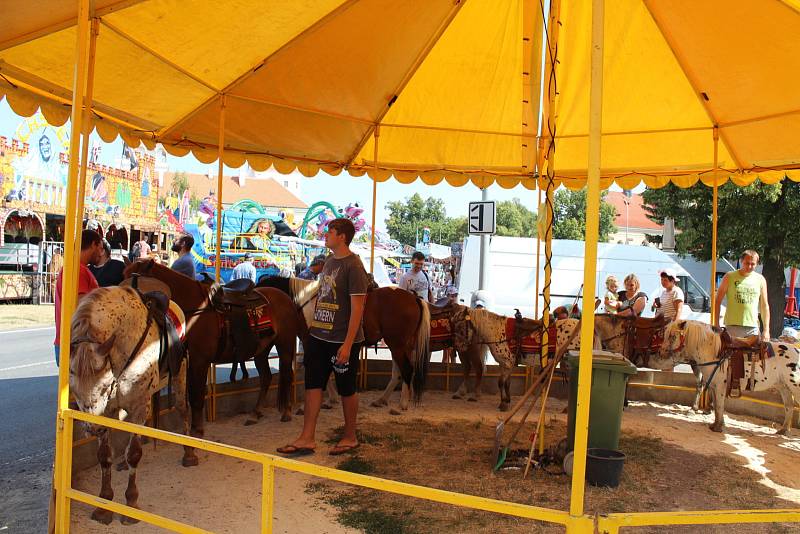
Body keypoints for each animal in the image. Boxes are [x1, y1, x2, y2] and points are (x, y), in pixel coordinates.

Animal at [69, 286, 193, 524]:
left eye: (103, 384)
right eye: (73, 385)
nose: (92, 428)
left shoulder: (138, 407)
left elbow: (134, 452)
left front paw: (131, 503)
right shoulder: (107, 412)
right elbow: (104, 456)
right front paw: (104, 504)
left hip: (180, 377)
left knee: (184, 410)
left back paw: (190, 454)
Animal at [123, 258, 302, 440]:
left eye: (134, 281)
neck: (194, 309)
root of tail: (284, 297)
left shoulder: (199, 361)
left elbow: (196, 397)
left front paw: (197, 431)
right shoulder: (188, 361)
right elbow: (190, 396)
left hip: (285, 345)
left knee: (287, 374)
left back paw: (286, 412)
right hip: (261, 350)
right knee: (266, 377)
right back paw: (254, 414)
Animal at [258, 278, 432, 412]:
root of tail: (414, 298)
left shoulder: (310, 343)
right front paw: (331, 399)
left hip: (397, 345)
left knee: (407, 369)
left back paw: (402, 404)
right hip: (402, 346)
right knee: (400, 371)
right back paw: (383, 399)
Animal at [652, 320, 800, 438]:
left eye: (673, 336)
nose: (661, 352)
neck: (715, 351)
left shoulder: (720, 386)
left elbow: (719, 405)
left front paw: (718, 427)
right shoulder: (713, 385)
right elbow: (717, 407)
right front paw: (715, 424)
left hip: (794, 386)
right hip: (783, 387)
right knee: (789, 406)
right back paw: (783, 430)